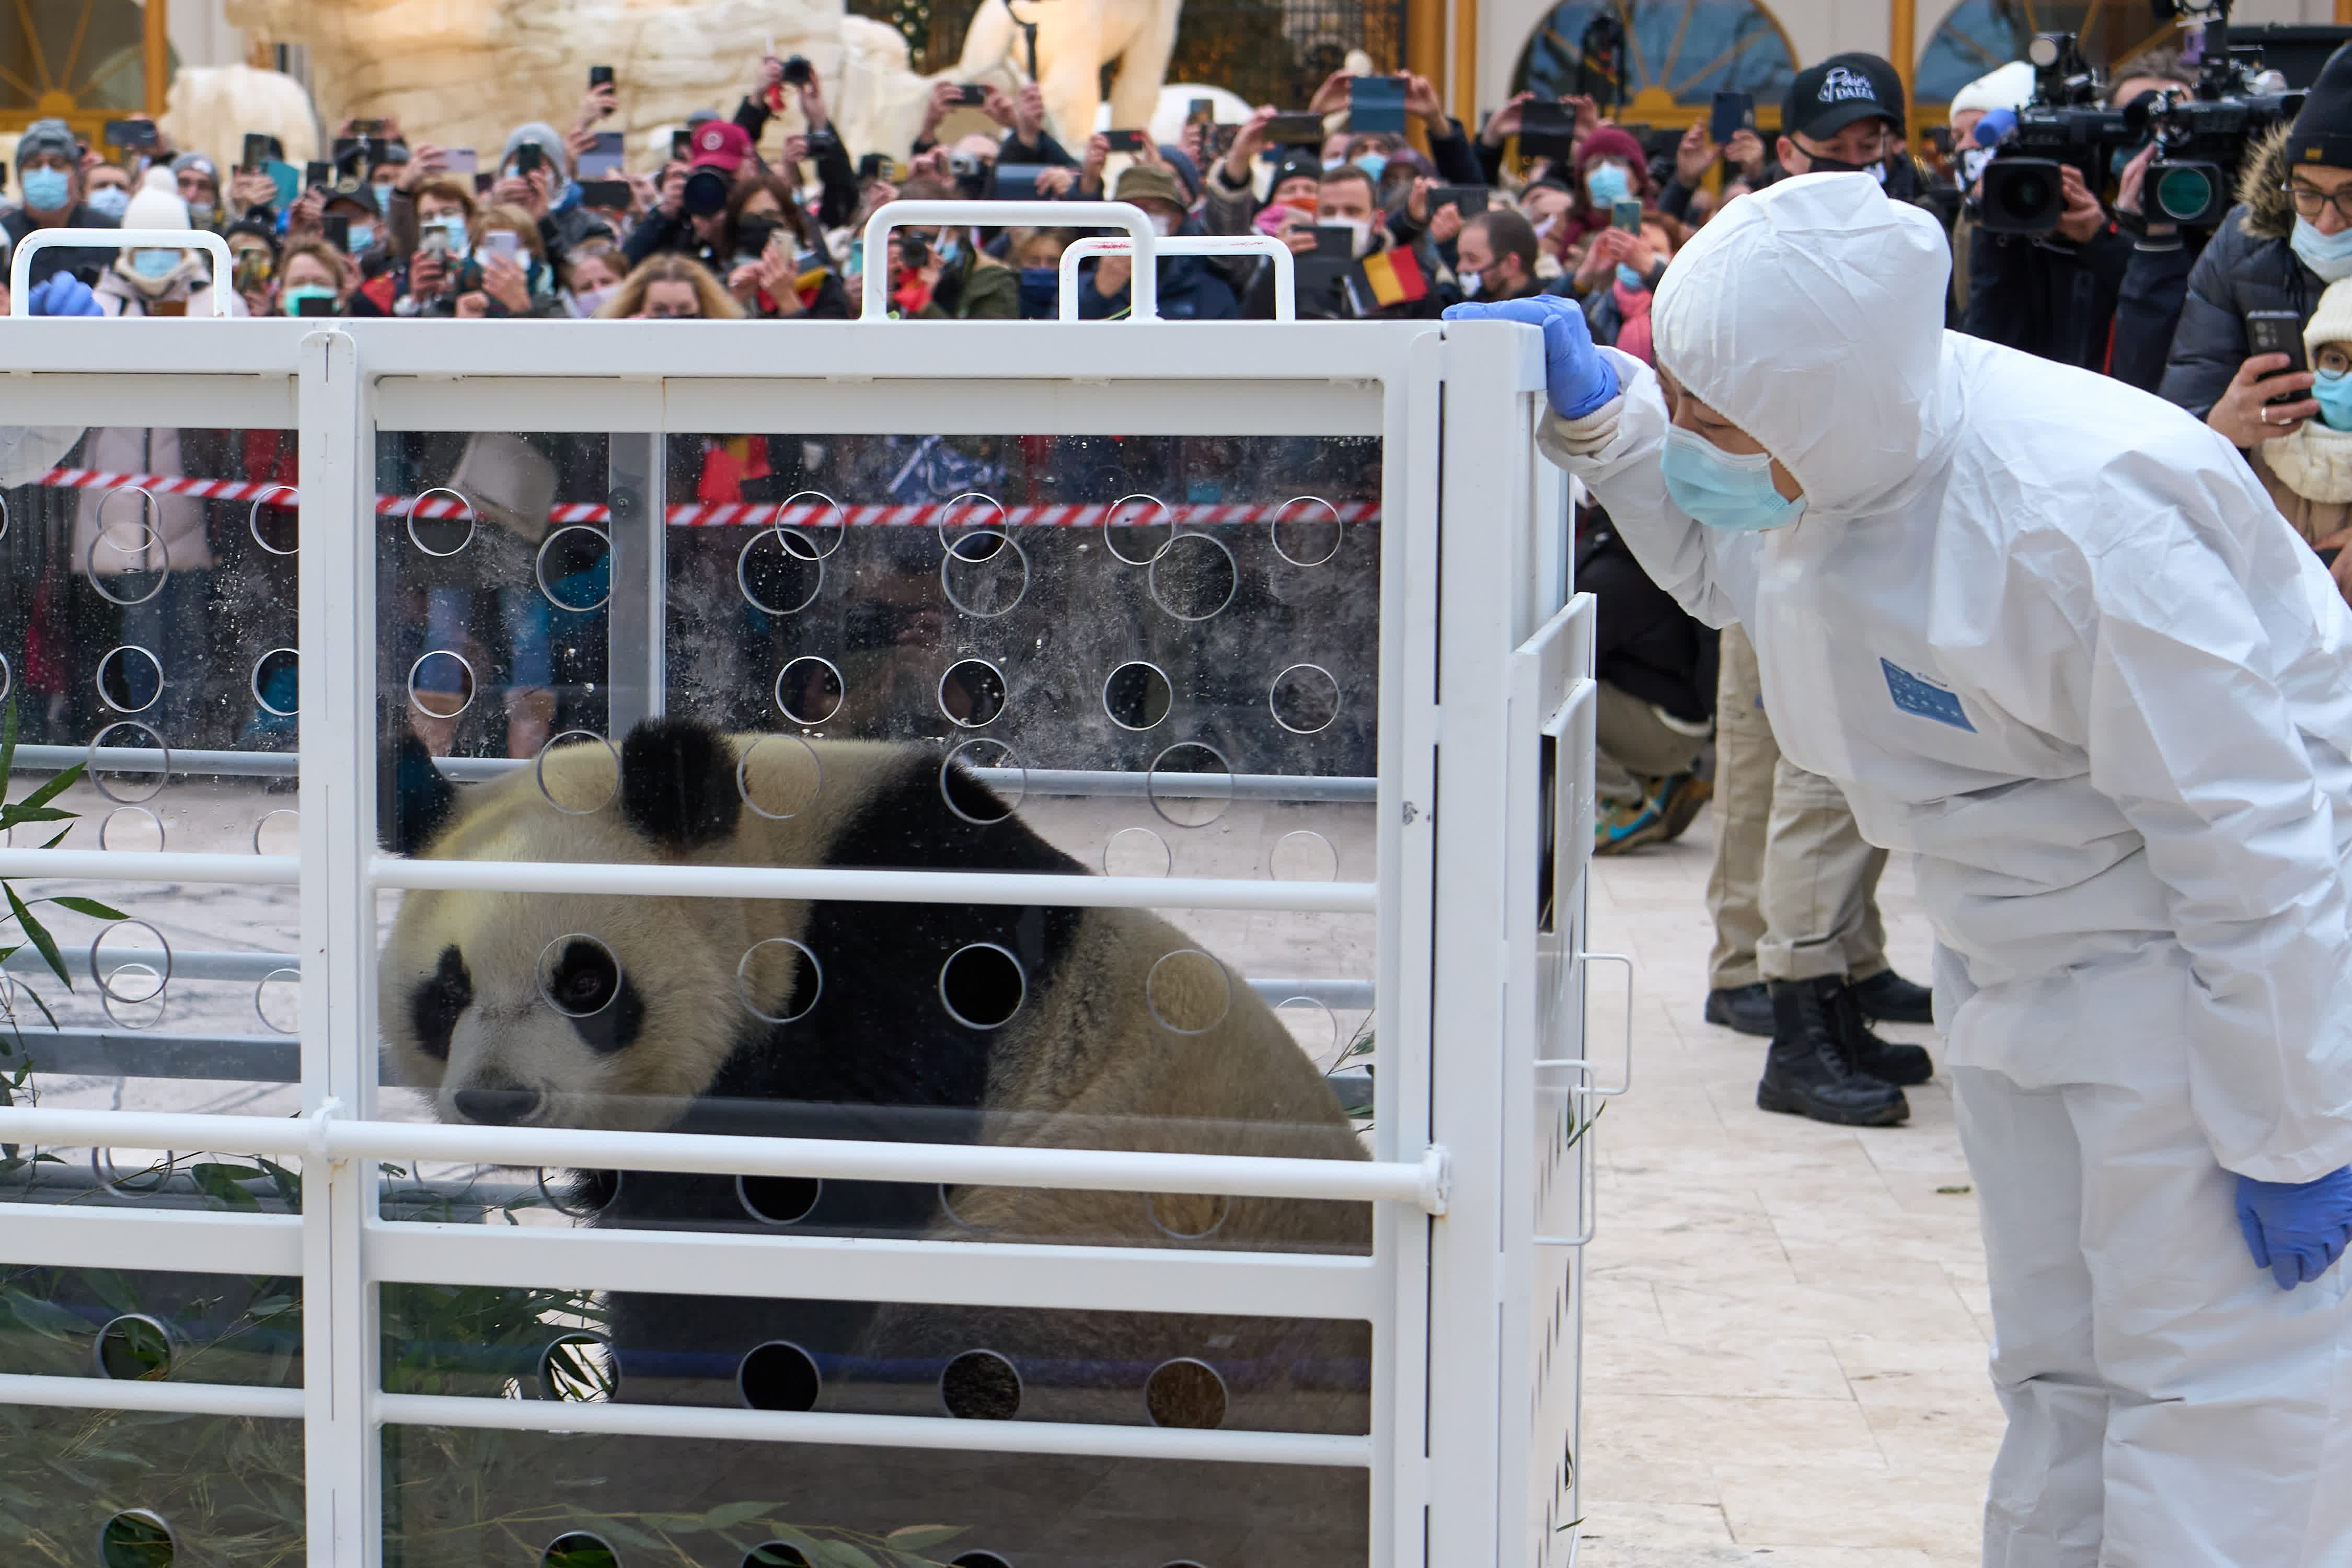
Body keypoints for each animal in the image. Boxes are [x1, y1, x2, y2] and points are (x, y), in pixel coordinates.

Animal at [376, 719, 1374, 1457]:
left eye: (584, 980)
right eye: (447, 991)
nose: (497, 1103)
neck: (790, 871)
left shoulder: (904, 982)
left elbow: (772, 1264)